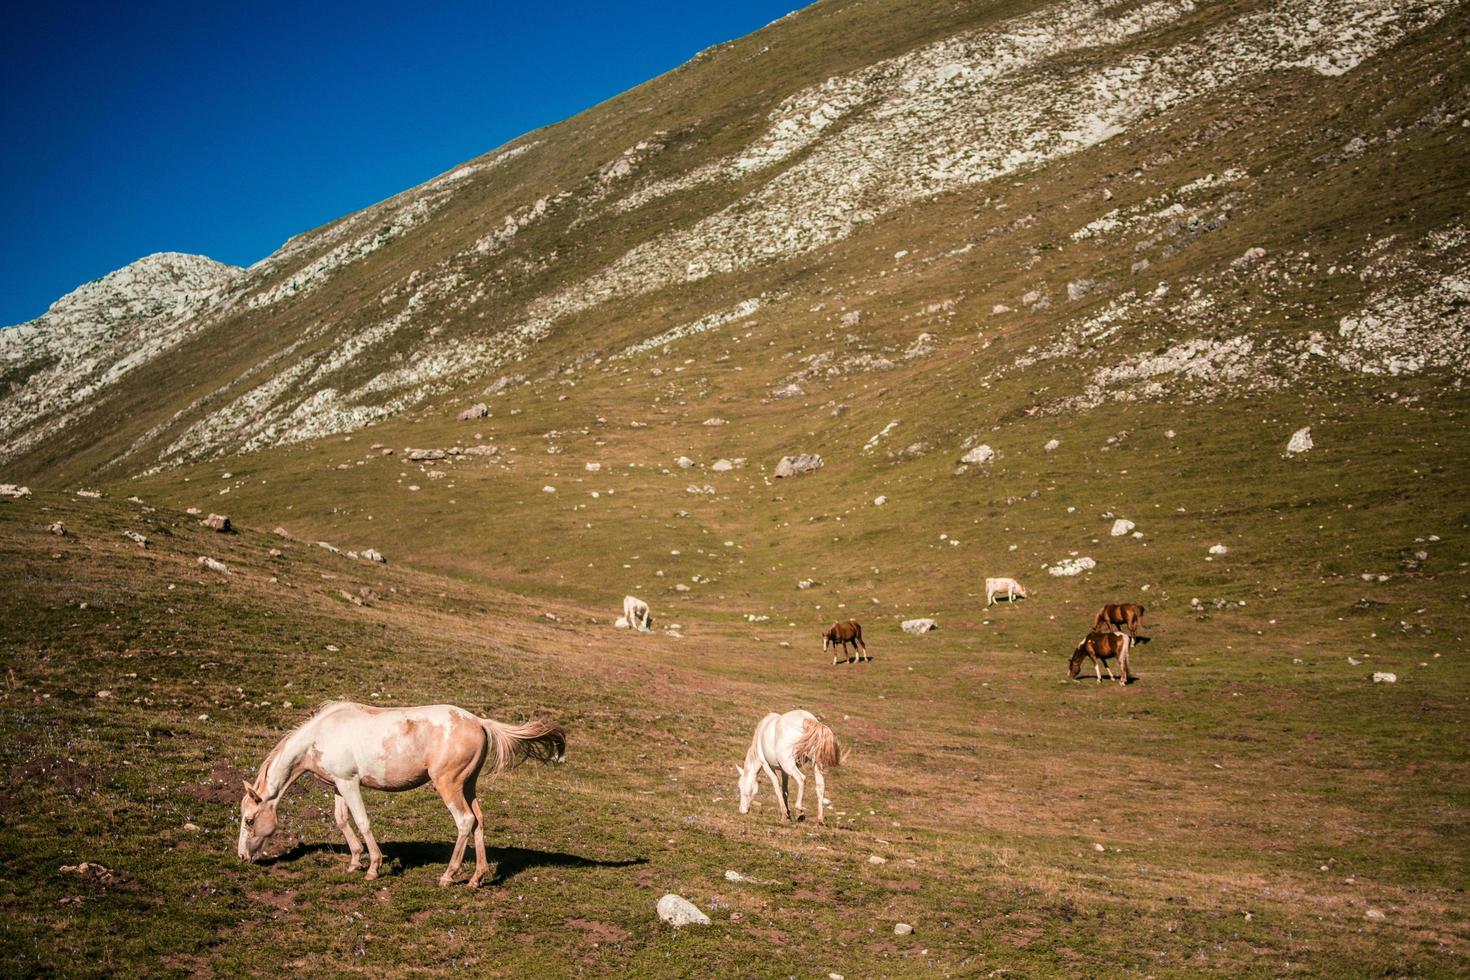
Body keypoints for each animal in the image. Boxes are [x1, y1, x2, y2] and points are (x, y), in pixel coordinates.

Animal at [238, 702, 564, 887]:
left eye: (249, 821)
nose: (242, 856)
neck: (321, 734)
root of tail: (480, 722)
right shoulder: (338, 786)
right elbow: (342, 820)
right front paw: (354, 862)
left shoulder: (350, 784)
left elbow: (362, 821)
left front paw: (373, 867)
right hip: (468, 785)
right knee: (479, 821)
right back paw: (476, 878)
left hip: (448, 785)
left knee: (465, 822)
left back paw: (449, 876)